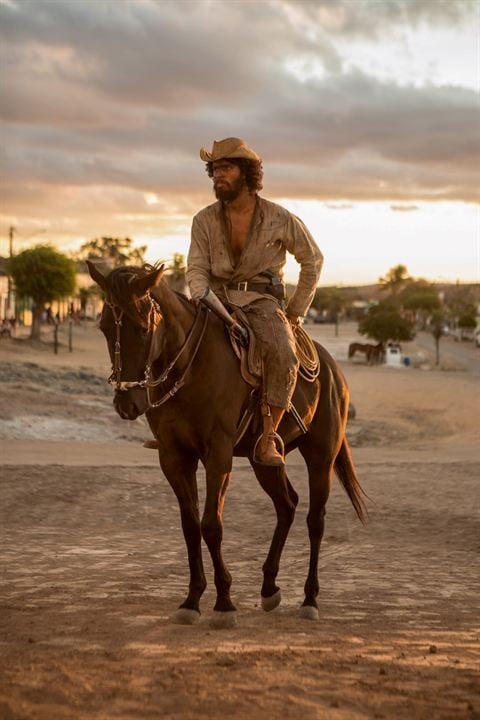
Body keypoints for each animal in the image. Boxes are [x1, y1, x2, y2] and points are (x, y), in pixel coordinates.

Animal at [88, 262, 366, 628]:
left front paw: (224, 603)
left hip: (321, 457)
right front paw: (192, 600)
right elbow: (190, 526)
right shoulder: (174, 457)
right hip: (263, 460)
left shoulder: (218, 456)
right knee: (287, 505)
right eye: (104, 327)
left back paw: (310, 599)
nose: (126, 404)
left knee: (315, 520)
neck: (190, 367)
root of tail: (333, 370)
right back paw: (269, 587)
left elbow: (212, 525)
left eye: (143, 326)